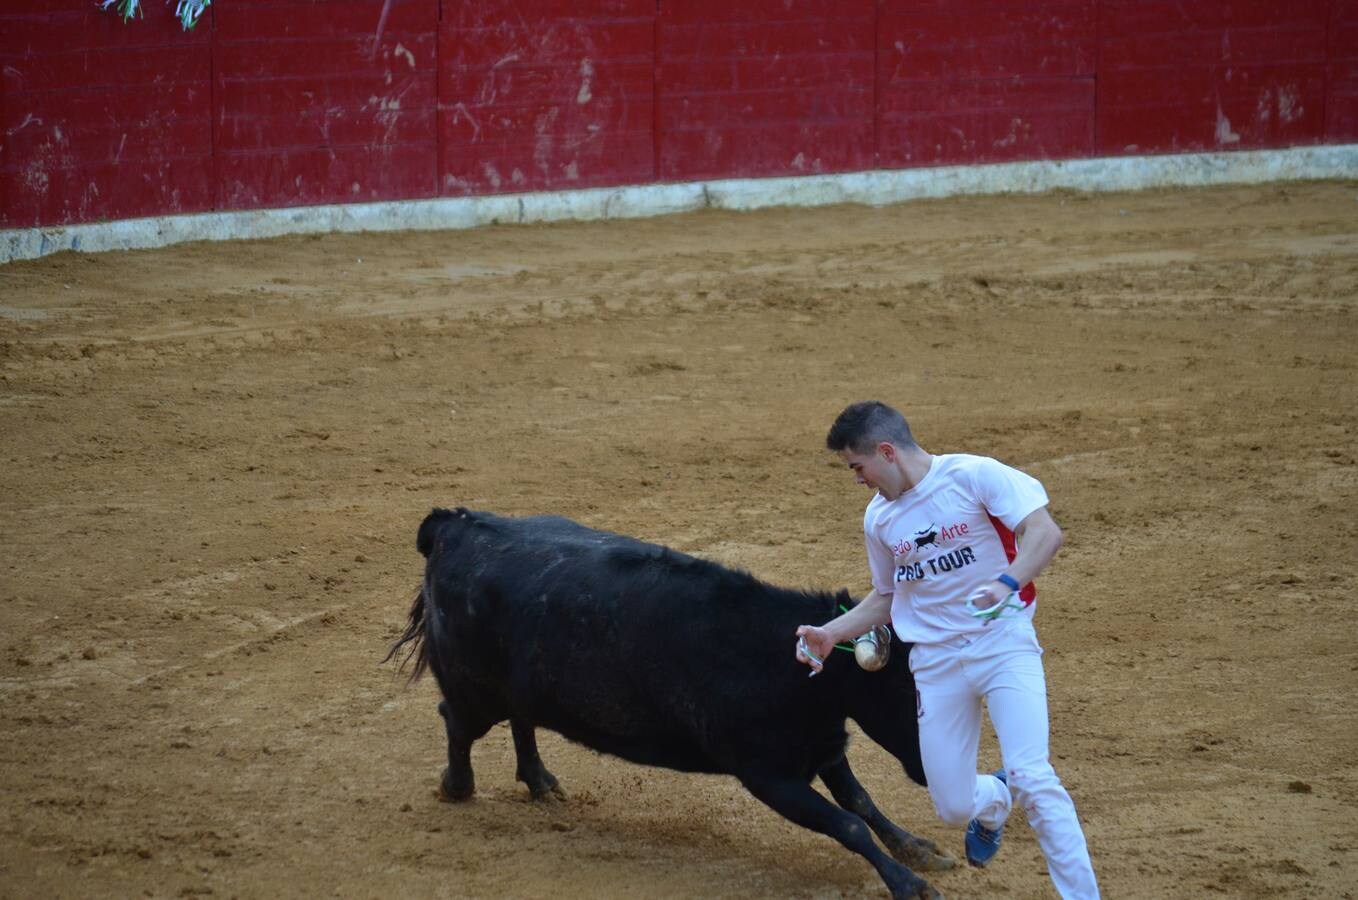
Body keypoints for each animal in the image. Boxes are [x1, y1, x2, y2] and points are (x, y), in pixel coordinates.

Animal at [388, 510, 950, 895]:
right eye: (911, 689)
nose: (933, 773)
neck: (785, 662)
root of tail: (455, 524)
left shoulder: (822, 747)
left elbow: (860, 802)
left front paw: (920, 851)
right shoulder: (770, 776)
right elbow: (848, 823)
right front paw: (909, 884)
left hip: (518, 685)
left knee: (520, 720)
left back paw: (541, 782)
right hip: (472, 691)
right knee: (456, 721)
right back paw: (458, 787)